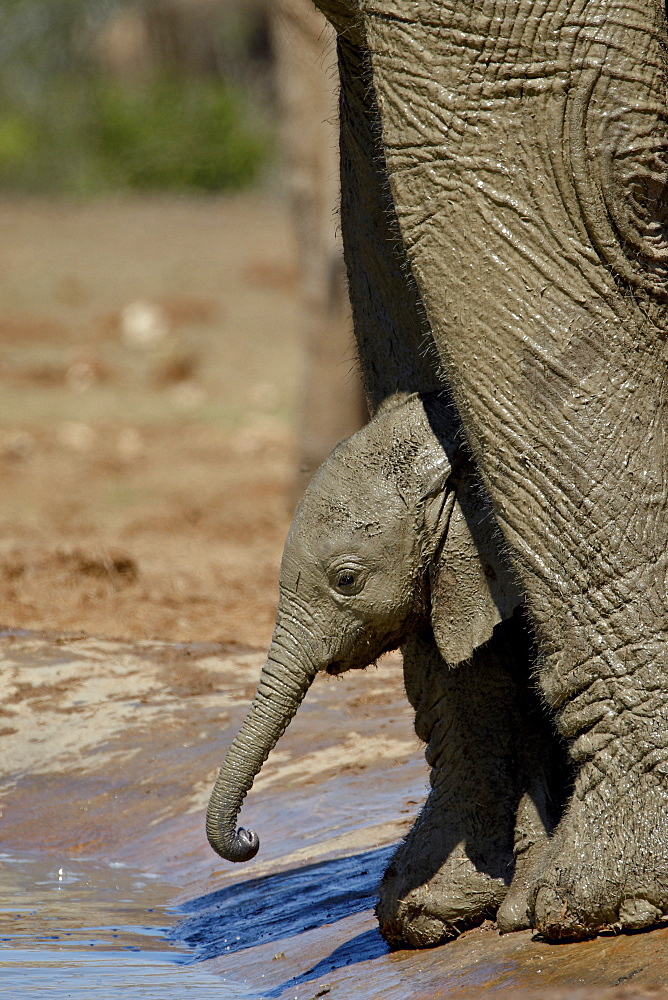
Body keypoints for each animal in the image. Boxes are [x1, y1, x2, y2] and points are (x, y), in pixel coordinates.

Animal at [312, 0, 668, 936]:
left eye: (347, 579)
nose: (246, 844)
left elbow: (569, 185)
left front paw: (606, 905)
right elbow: (380, 206)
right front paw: (436, 910)